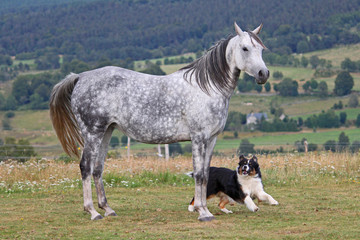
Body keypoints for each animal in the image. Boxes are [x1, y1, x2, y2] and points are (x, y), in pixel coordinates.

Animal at [50, 22, 270, 221]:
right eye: (245, 48)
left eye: (261, 48)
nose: (263, 74)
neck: (207, 87)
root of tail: (80, 77)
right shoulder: (198, 138)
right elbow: (199, 174)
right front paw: (202, 212)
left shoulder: (211, 139)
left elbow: (206, 174)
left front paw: (204, 209)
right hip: (92, 133)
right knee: (86, 167)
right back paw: (93, 212)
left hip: (106, 131)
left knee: (97, 169)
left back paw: (107, 209)